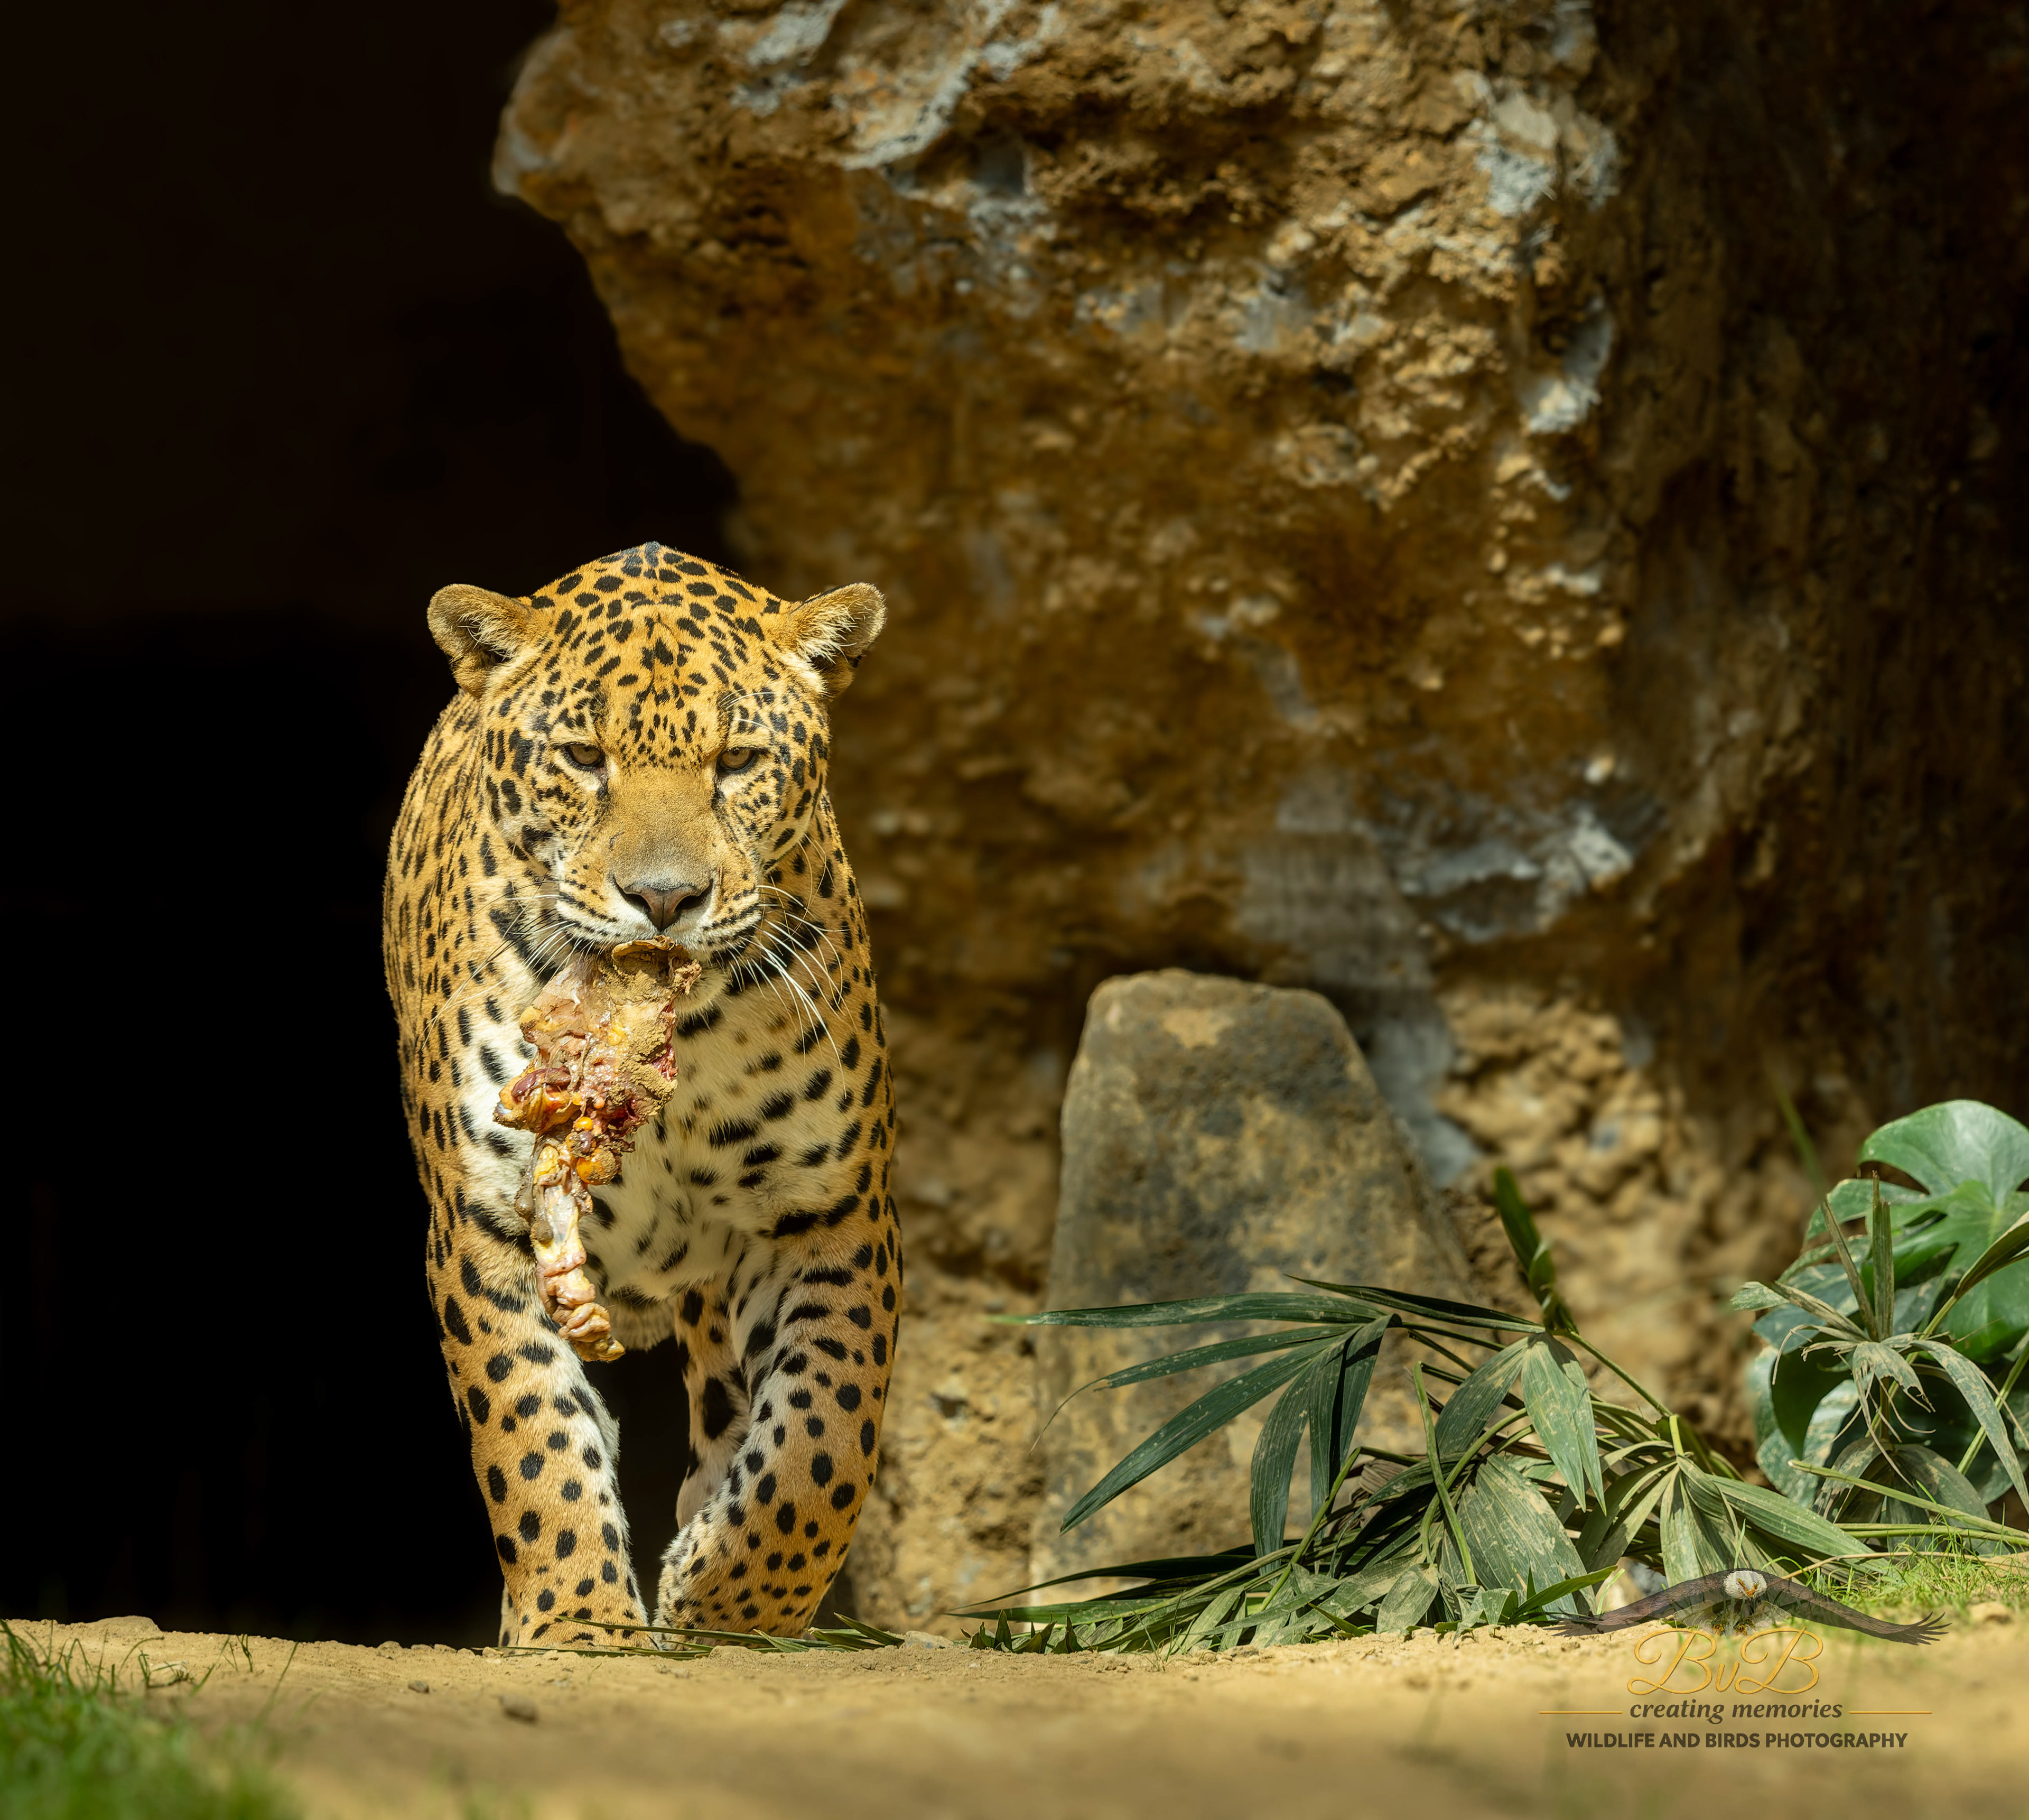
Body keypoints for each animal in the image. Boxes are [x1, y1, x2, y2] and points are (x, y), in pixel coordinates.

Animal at [382, 540, 900, 1648]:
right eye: (584, 756)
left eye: (737, 762)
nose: (665, 898)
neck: (674, 1035)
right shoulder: (489, 1221)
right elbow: (530, 1429)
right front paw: (577, 1616)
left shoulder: (831, 1214)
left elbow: (823, 1438)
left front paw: (731, 1600)